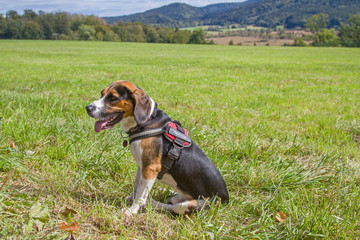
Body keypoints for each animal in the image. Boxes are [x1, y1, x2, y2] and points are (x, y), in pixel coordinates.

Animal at [86, 80, 229, 216]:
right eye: (102, 94)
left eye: (113, 97)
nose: (87, 108)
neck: (147, 121)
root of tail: (226, 199)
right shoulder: (141, 166)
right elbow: (137, 187)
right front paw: (130, 199)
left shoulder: (150, 168)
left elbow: (141, 195)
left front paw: (132, 210)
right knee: (176, 200)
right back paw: (170, 194)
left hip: (196, 205)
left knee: (172, 207)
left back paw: (154, 203)